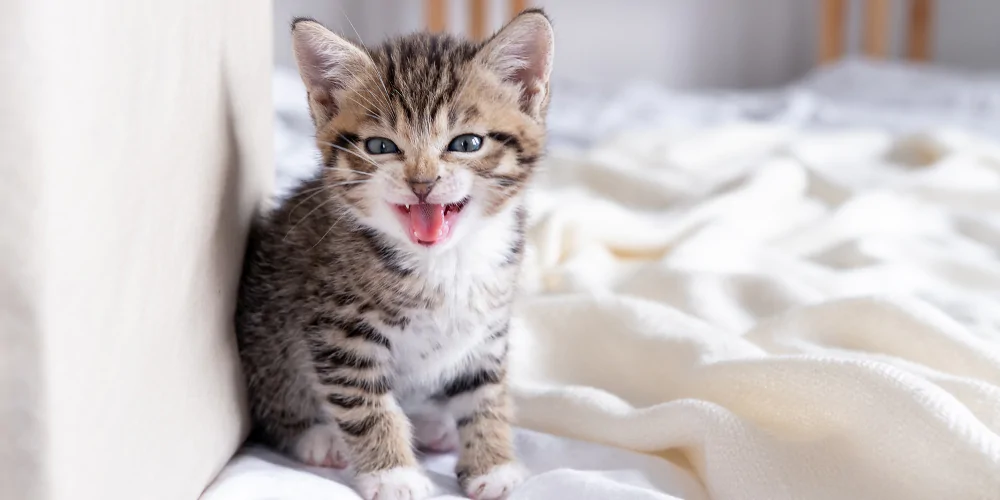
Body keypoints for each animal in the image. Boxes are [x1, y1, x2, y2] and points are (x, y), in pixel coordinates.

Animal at [237, 8, 556, 500]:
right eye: (381, 146)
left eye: (466, 143)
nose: (421, 182)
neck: (446, 261)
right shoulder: (340, 331)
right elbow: (366, 405)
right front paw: (393, 474)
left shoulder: (487, 328)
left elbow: (486, 393)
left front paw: (492, 462)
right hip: (267, 333)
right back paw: (317, 438)